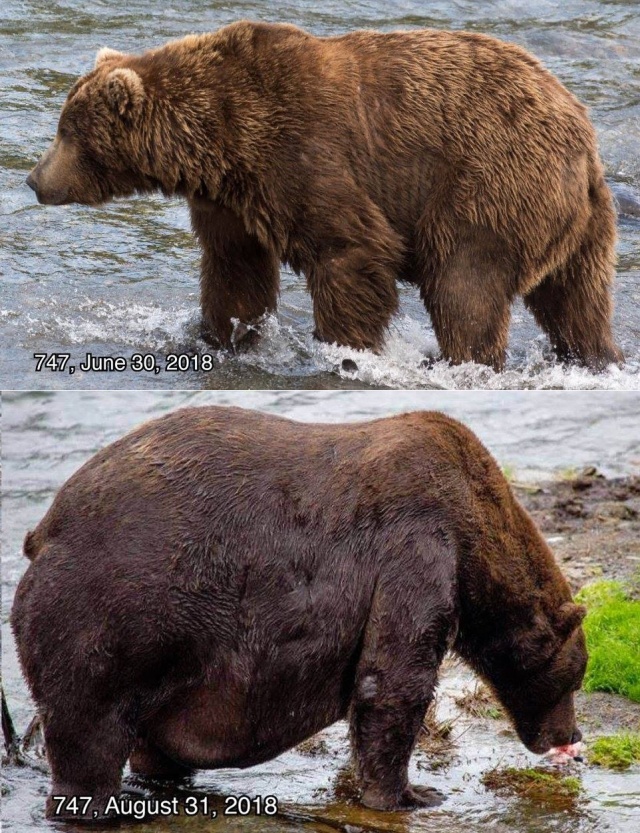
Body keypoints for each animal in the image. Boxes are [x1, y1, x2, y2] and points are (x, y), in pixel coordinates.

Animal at [12, 406, 588, 824]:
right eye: (575, 677)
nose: (572, 737)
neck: (476, 541)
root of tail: (44, 529)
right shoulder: (417, 545)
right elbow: (394, 678)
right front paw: (412, 793)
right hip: (110, 611)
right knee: (88, 726)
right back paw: (97, 805)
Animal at [27, 20, 624, 370]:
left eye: (66, 131)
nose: (34, 179)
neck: (217, 141)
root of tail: (583, 139)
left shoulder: (301, 152)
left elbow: (349, 250)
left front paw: (343, 345)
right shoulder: (230, 199)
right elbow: (234, 269)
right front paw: (221, 336)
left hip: (488, 182)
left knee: (465, 281)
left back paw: (459, 360)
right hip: (581, 224)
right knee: (576, 300)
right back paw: (595, 356)